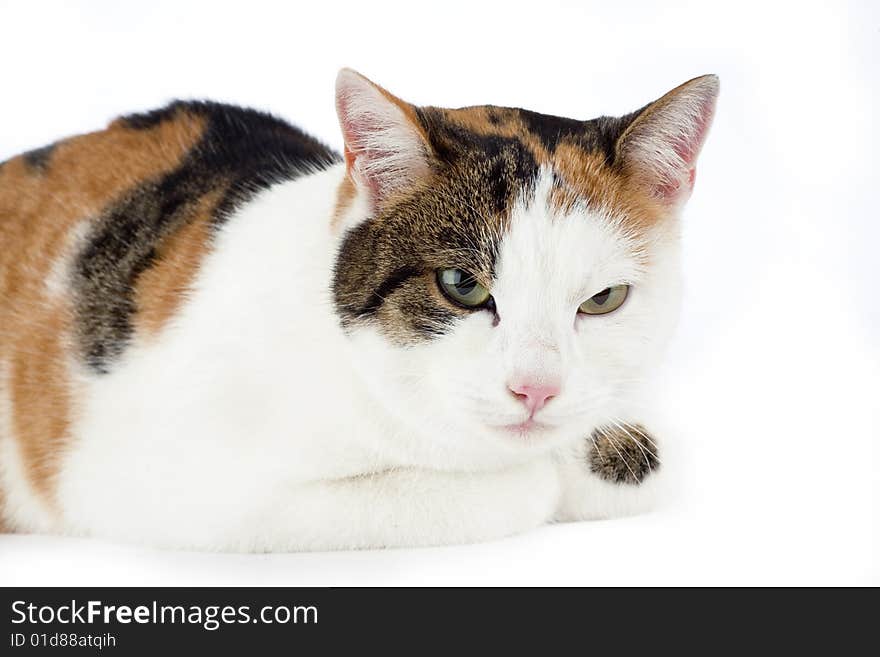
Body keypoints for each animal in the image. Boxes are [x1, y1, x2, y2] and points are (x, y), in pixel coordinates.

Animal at [0, 69, 716, 552]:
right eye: (460, 284)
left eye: (604, 300)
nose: (536, 389)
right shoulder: (176, 488)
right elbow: (510, 489)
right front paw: (546, 479)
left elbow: (648, 458)